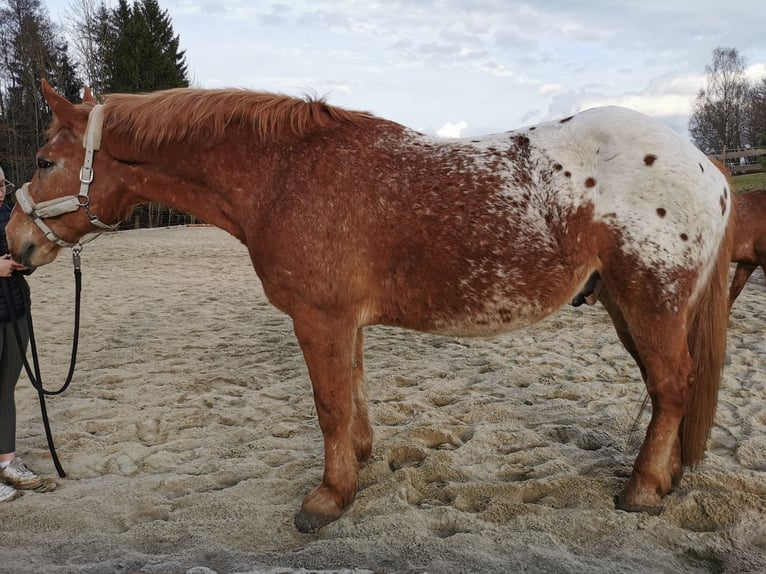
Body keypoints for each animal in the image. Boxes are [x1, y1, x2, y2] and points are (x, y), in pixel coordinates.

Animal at [7, 80, 736, 532]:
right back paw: (665, 477)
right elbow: (352, 395)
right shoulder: (343, 323)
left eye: (42, 160)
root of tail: (707, 164)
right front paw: (357, 464)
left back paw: (642, 490)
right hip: (624, 306)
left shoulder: (319, 318)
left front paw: (327, 499)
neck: (283, 175)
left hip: (651, 303)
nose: (14, 243)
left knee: (671, 387)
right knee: (668, 390)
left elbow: (329, 404)